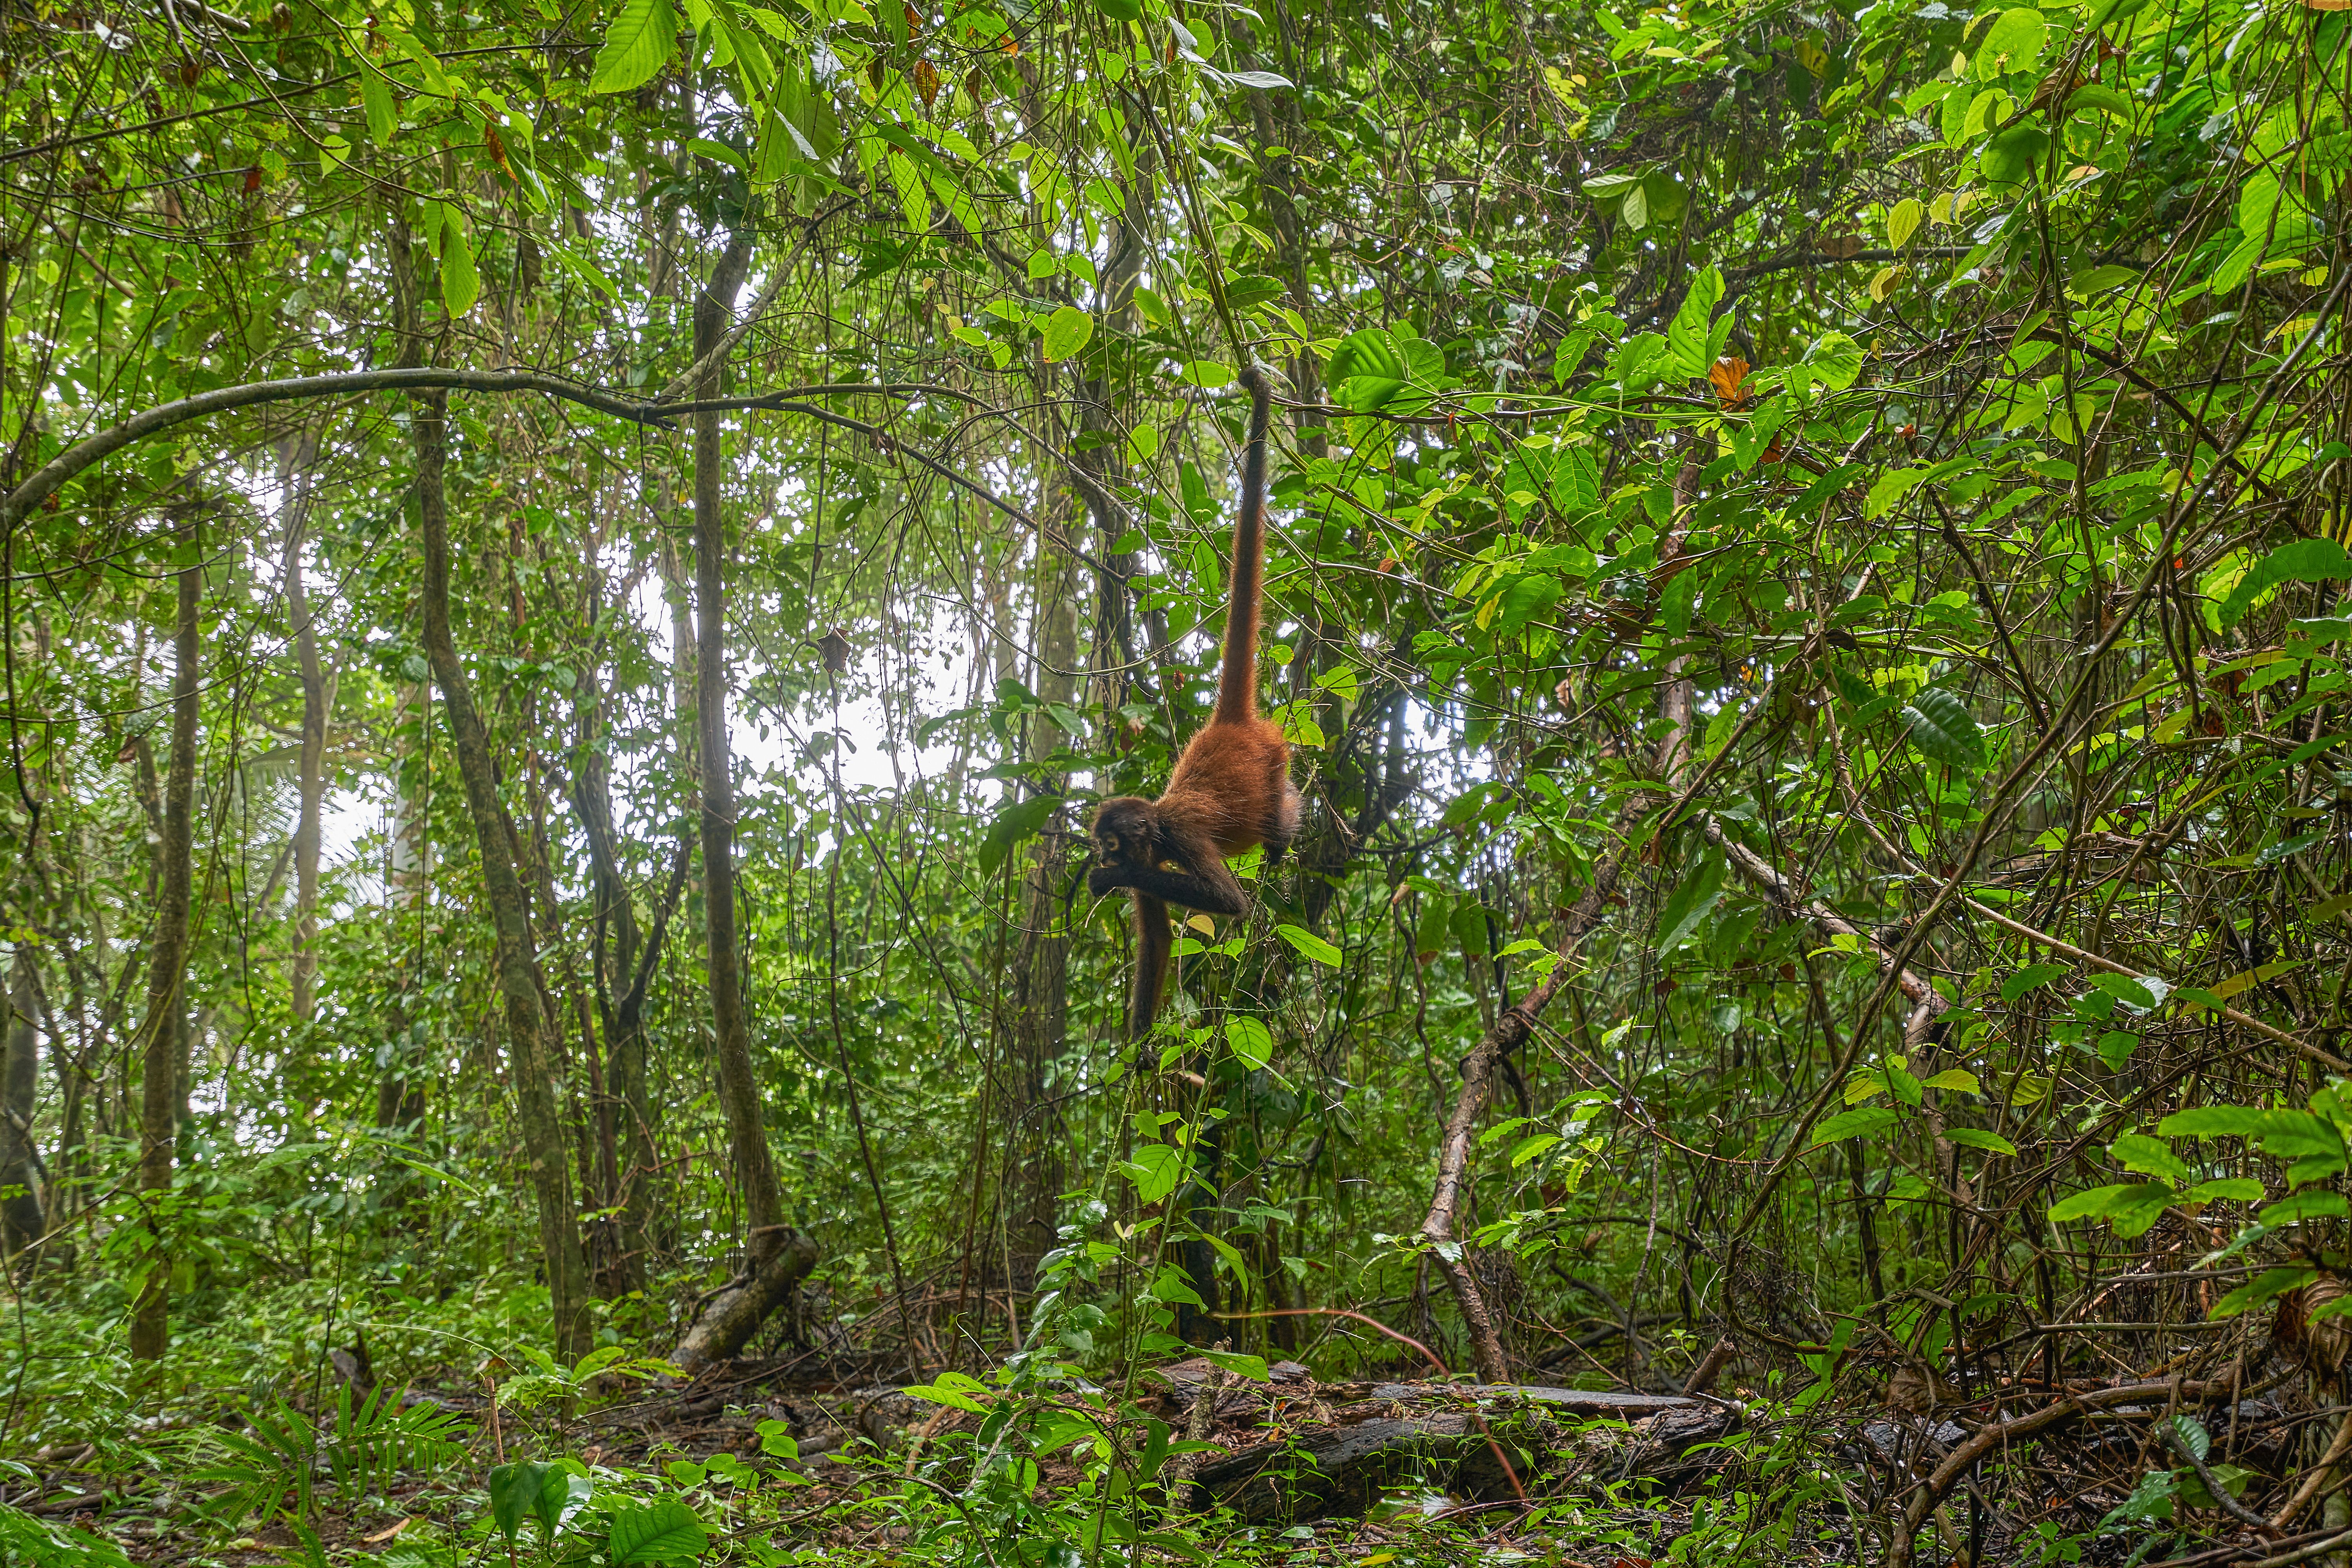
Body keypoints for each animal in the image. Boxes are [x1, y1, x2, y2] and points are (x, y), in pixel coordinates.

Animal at [1089, 363, 1301, 1038]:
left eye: (1112, 842)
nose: (1103, 853)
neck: (1157, 822)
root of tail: (1228, 723)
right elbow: (1155, 938)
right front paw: (1136, 1049)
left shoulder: (1178, 836)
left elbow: (1229, 902)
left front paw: (1111, 876)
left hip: (1274, 761)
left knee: (1277, 817)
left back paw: (1282, 841)